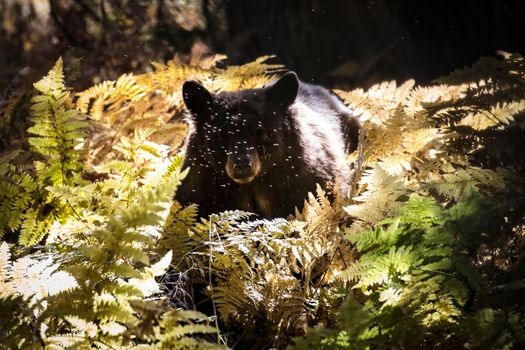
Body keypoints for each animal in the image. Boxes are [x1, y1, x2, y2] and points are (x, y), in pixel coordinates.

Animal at [174, 71, 358, 217]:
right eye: (222, 134)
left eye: (259, 131)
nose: (242, 165)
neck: (252, 186)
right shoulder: (200, 190)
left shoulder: (309, 184)